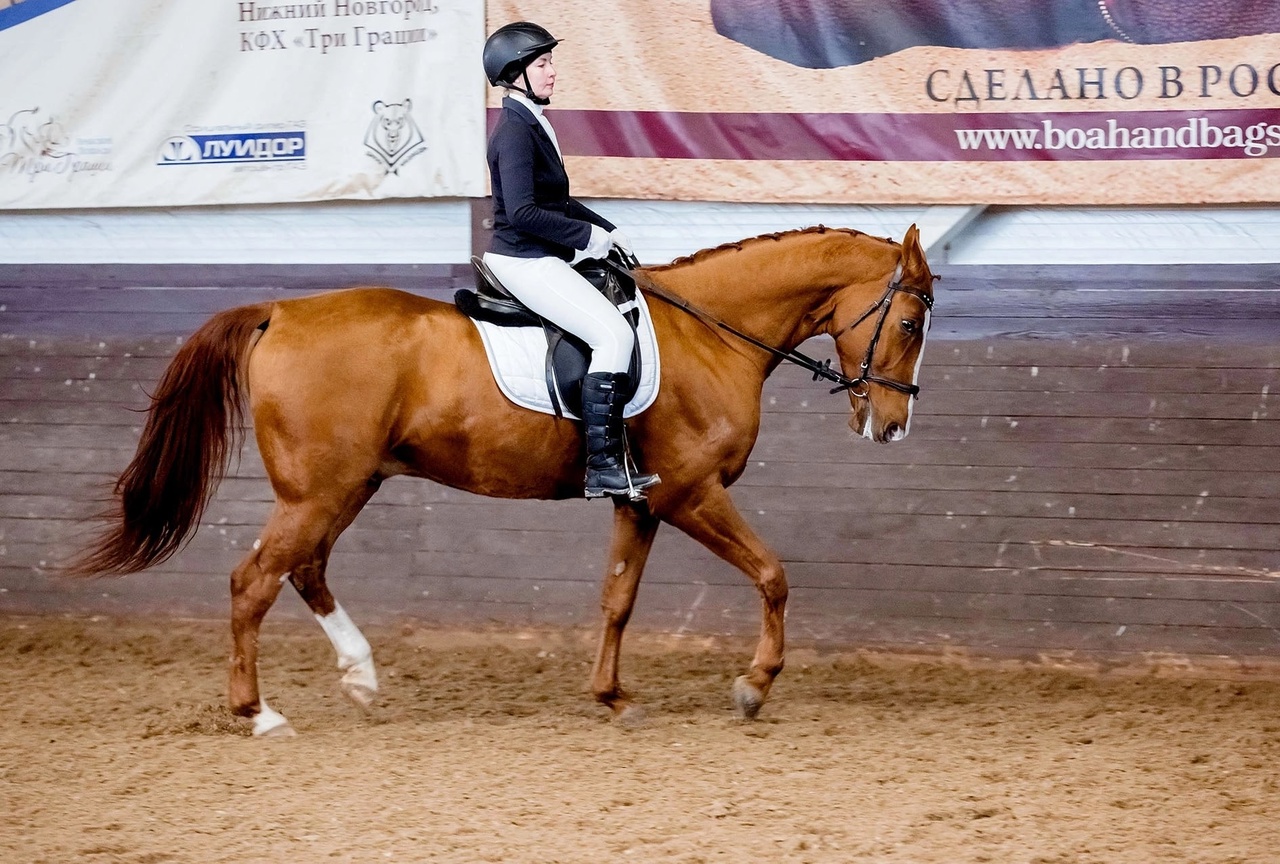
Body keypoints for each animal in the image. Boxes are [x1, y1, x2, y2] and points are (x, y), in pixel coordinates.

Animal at [77, 222, 942, 737]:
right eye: (907, 322)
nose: (893, 426)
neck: (711, 334)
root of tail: (278, 311)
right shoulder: (691, 494)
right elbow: (772, 574)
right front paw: (754, 685)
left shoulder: (640, 501)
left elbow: (618, 600)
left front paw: (612, 696)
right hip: (317, 492)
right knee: (252, 581)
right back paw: (257, 714)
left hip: (347, 487)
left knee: (305, 570)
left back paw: (361, 677)